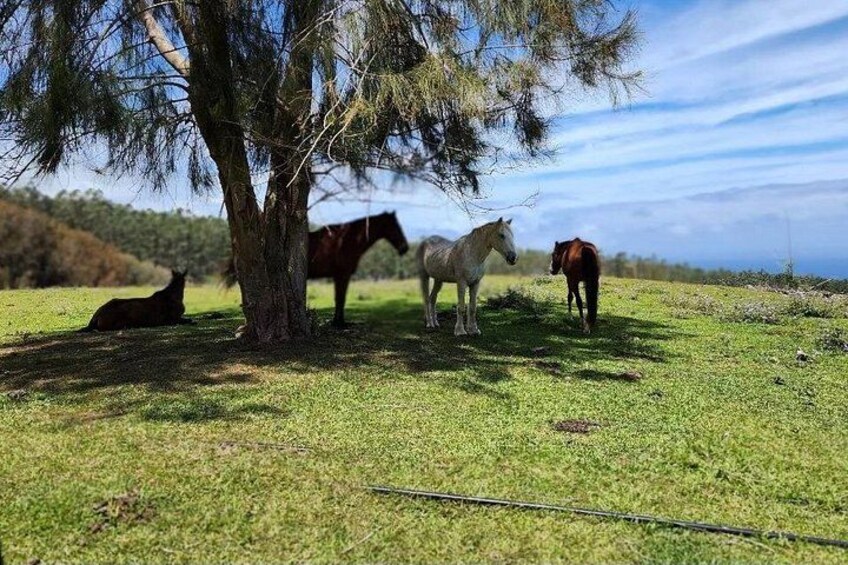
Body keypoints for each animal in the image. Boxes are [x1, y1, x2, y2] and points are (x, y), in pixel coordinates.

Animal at [224, 211, 409, 327]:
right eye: (395, 227)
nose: (404, 248)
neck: (346, 240)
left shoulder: (339, 276)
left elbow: (339, 299)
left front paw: (338, 322)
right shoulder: (342, 275)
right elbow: (340, 299)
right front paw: (339, 324)